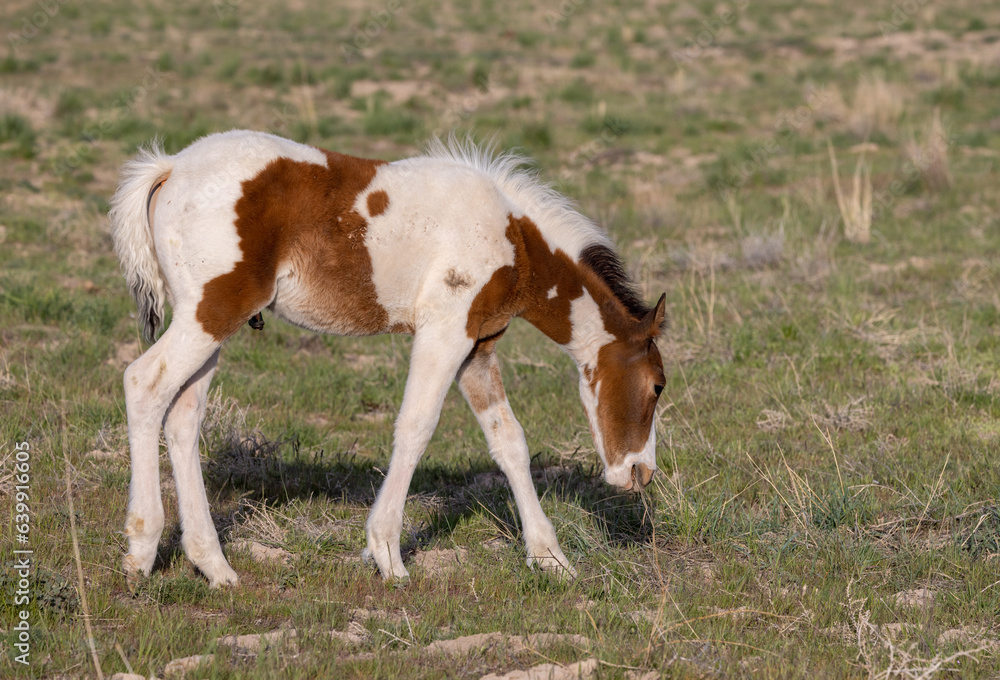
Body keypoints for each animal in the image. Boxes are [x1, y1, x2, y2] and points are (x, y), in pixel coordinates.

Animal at [111, 131, 664, 584]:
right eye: (658, 386)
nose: (641, 473)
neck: (513, 236)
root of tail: (169, 167)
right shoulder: (445, 332)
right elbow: (416, 426)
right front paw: (387, 555)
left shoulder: (477, 346)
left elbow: (509, 442)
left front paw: (550, 557)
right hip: (211, 313)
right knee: (144, 383)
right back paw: (140, 549)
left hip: (211, 324)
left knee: (183, 417)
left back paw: (214, 566)